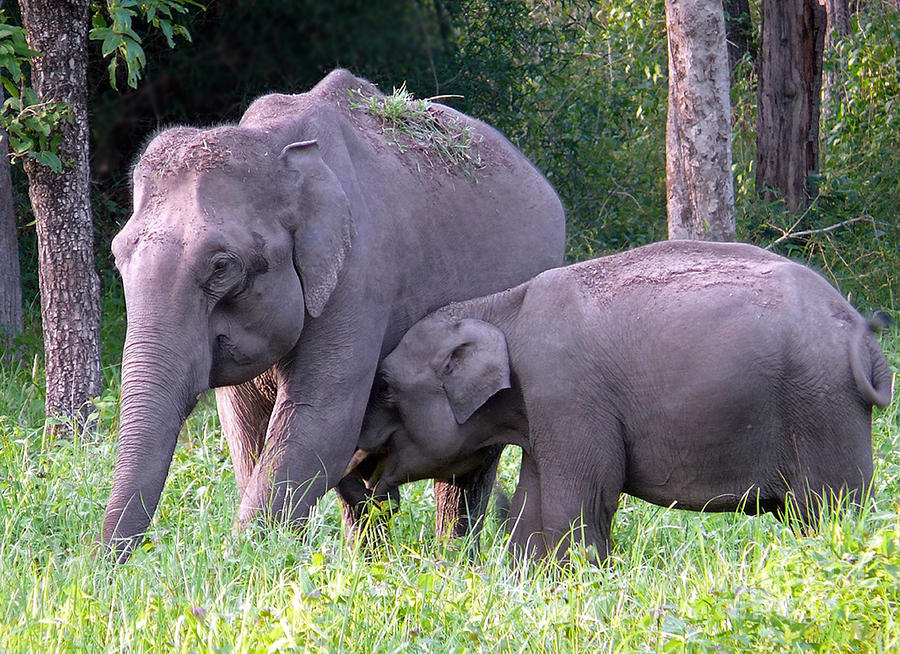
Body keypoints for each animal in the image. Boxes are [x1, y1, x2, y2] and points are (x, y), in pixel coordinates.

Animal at [100, 72, 564, 564]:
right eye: (117, 254)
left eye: (222, 266)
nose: (106, 567)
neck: (273, 143)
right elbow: (246, 431)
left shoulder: (360, 276)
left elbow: (319, 424)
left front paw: (244, 560)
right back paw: (375, 559)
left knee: (470, 463)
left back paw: (452, 561)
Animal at [346, 241, 892, 564]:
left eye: (386, 386)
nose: (366, 483)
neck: (502, 307)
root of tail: (863, 337)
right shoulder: (546, 408)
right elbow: (534, 503)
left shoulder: (567, 391)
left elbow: (582, 497)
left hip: (822, 407)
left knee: (832, 510)